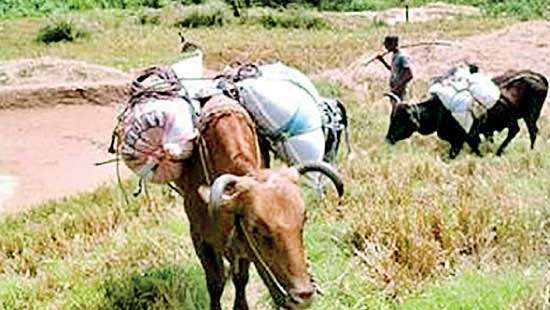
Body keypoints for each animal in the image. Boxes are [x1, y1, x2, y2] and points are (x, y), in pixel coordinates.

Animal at [175, 95, 342, 308]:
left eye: (303, 221)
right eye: (256, 229)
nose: (303, 296)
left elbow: (240, 278)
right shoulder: (199, 238)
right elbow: (215, 283)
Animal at [386, 70, 548, 157]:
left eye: (400, 119)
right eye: (392, 117)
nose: (388, 138)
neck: (439, 109)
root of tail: (539, 77)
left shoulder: (463, 139)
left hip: (529, 117)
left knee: (531, 132)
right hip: (516, 119)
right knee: (517, 131)